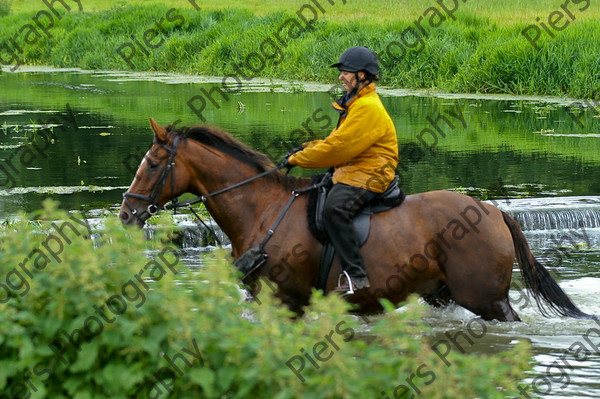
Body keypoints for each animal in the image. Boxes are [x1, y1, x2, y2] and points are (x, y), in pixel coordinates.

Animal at [117, 119, 592, 322]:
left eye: (154, 163)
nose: (126, 213)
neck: (263, 211)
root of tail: (494, 211)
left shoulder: (285, 301)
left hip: (486, 300)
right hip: (442, 294)